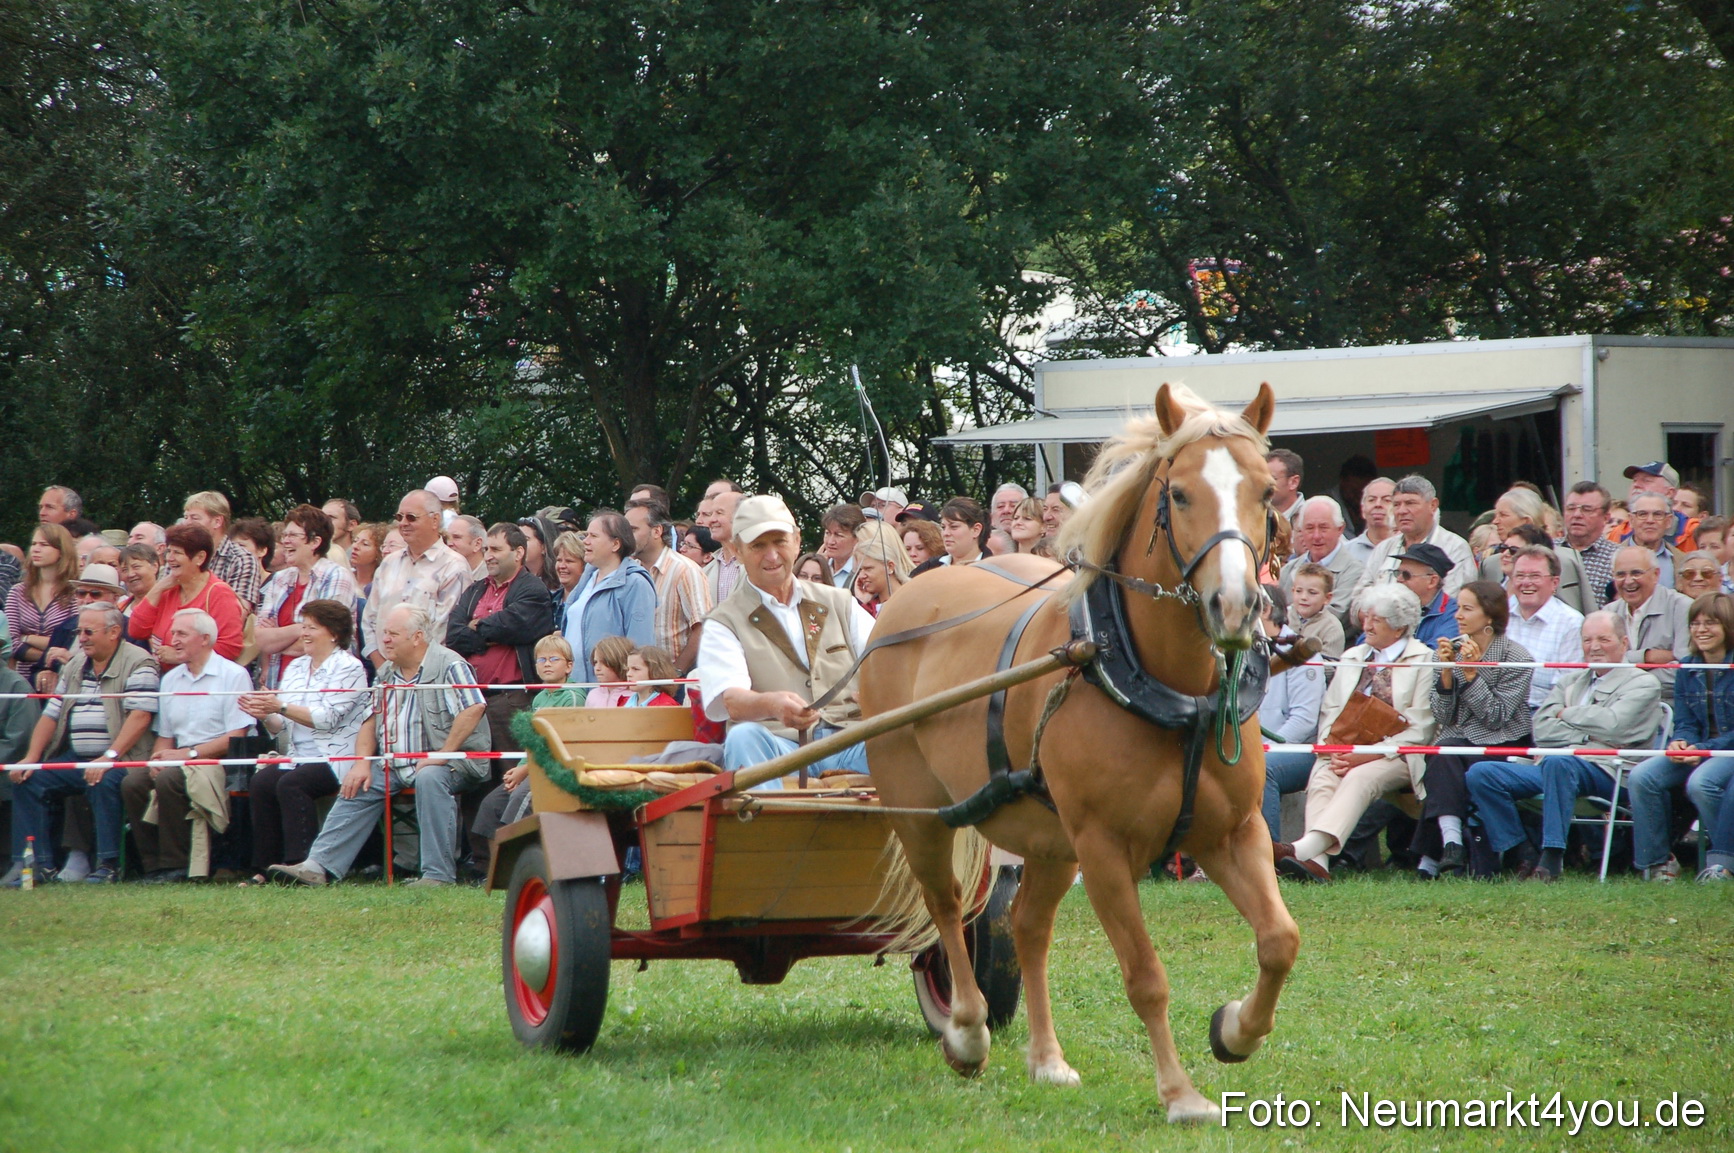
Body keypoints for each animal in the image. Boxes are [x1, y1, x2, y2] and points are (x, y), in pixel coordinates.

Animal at [860, 382, 1298, 1124]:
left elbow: (1279, 940)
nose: (1236, 606)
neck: (1165, 690)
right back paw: (967, 1030)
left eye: (1266, 490)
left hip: (1046, 838)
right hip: (923, 812)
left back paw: (1046, 1058)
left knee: (1027, 927)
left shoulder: (1232, 832)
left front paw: (1237, 1029)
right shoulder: (1104, 848)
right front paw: (1180, 1093)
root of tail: (906, 595)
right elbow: (1146, 975)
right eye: (1181, 494)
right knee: (947, 908)